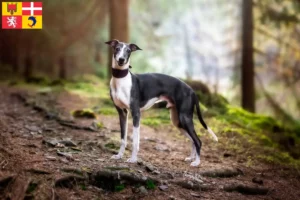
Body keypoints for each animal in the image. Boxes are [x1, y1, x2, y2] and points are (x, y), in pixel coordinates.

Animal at [105, 39, 218, 167]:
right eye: (117, 48)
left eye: (128, 51)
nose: (121, 60)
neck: (121, 80)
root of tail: (192, 90)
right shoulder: (122, 113)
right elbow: (123, 138)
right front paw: (119, 156)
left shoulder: (136, 113)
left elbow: (135, 140)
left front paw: (133, 159)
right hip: (177, 121)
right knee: (192, 140)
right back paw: (191, 158)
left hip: (184, 118)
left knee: (198, 141)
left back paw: (196, 162)